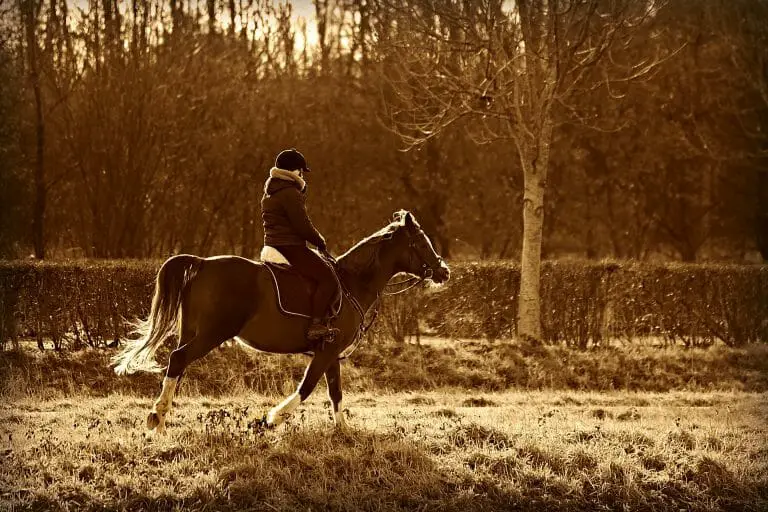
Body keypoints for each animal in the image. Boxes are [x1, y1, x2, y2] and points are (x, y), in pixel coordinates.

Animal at [112, 210, 450, 433]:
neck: (352, 282)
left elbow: (335, 391)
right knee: (178, 359)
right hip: (212, 334)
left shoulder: (331, 352)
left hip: (192, 331)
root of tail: (203, 263)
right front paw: (271, 418)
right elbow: (308, 387)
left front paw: (342, 431)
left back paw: (161, 416)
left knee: (177, 367)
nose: (444, 271)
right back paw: (157, 418)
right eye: (422, 241)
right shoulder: (326, 352)